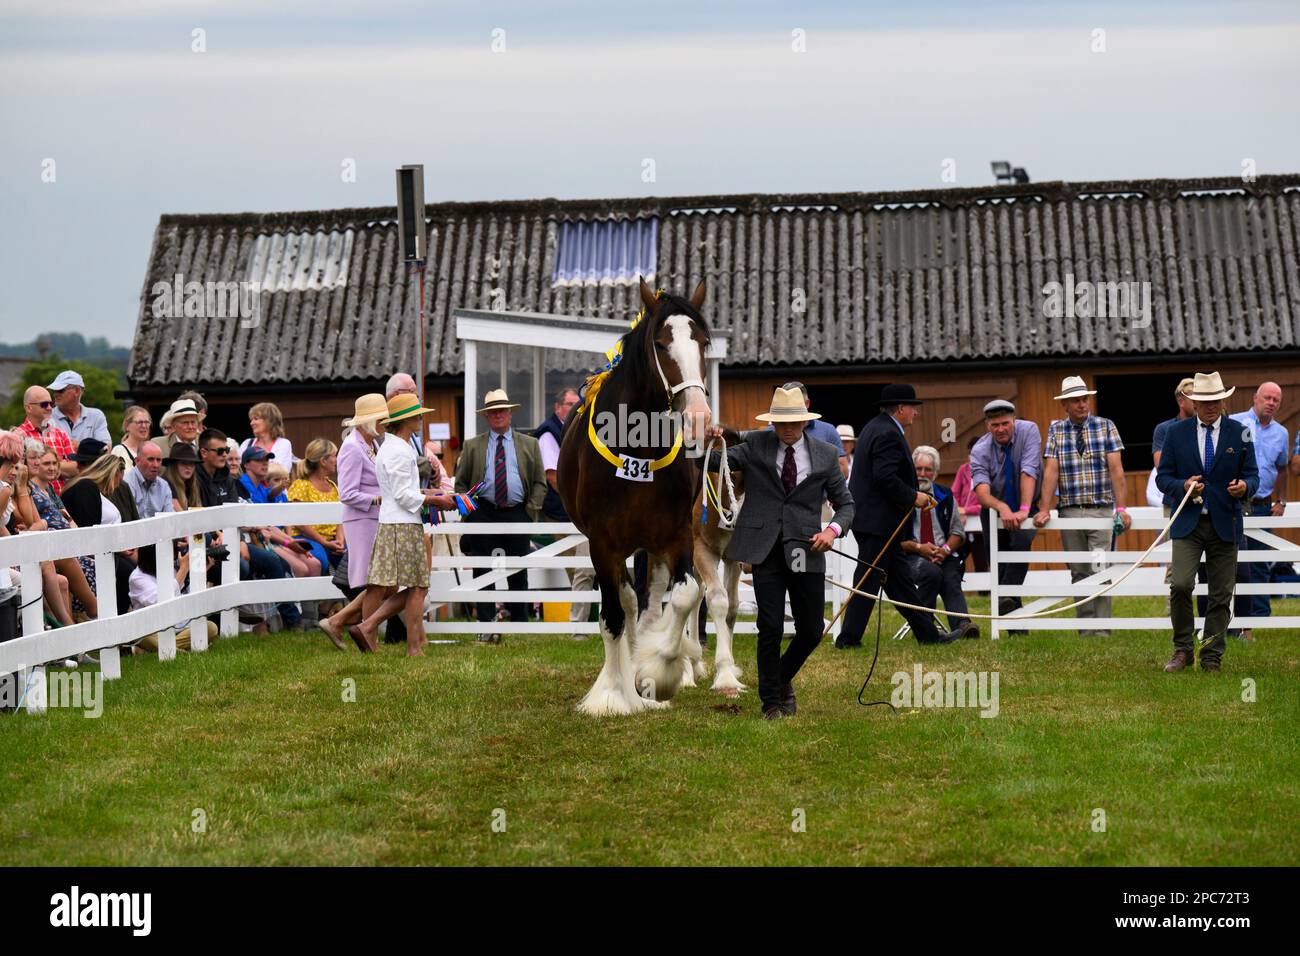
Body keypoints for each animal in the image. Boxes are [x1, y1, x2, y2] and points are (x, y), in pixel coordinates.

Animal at [561, 280, 717, 712]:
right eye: (662, 344)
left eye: (703, 341)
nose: (698, 417)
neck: (639, 450)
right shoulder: (602, 543)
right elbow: (613, 615)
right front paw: (613, 695)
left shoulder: (676, 537)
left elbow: (686, 594)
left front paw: (659, 673)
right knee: (629, 603)